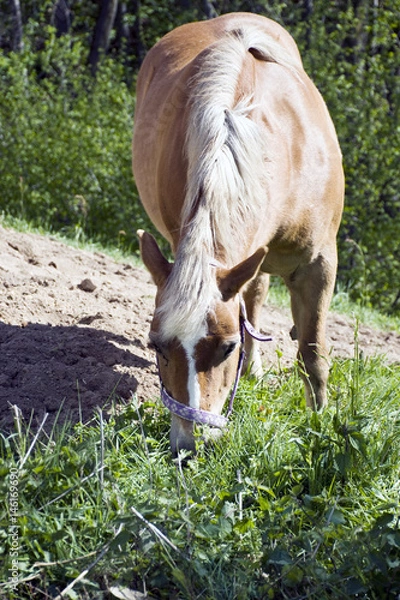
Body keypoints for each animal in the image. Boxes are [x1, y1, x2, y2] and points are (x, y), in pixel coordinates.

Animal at [133, 11, 346, 452]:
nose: (189, 444)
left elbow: (313, 353)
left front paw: (320, 424)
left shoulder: (319, 264)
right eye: (156, 345)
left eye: (227, 347)